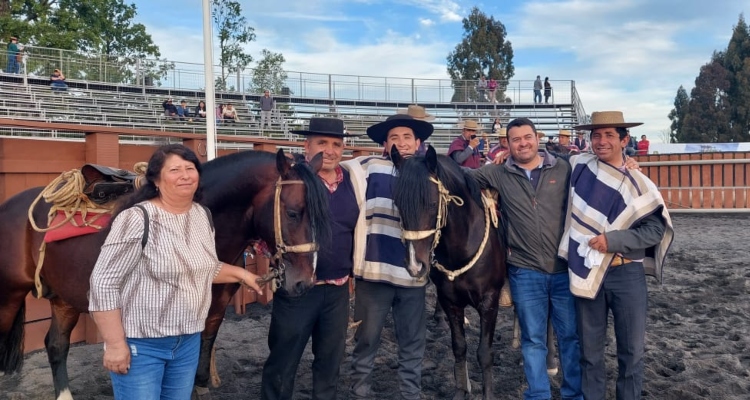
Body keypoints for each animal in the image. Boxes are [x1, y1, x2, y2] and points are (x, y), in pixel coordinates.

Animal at [0, 148, 332, 398]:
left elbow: (199, 369)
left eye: (322, 215)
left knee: (56, 346)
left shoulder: (214, 308)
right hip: (9, 296)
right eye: (293, 213)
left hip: (64, 299)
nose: (304, 282)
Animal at [394, 147, 512, 400]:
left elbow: (484, 353)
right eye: (398, 202)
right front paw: (461, 390)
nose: (415, 265)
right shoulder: (450, 301)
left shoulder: (490, 301)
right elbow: (459, 347)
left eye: (431, 203)